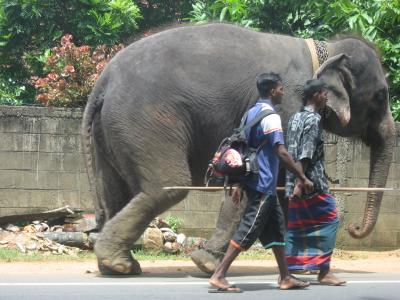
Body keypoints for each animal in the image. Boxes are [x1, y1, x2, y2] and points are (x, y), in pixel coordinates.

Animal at [81, 22, 394, 276]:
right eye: (381, 96)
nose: (354, 228)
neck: (325, 50)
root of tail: (102, 82)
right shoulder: (285, 106)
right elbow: (268, 177)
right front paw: (206, 264)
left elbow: (279, 185)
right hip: (143, 121)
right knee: (166, 187)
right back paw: (118, 263)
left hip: (110, 131)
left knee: (114, 194)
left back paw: (116, 266)